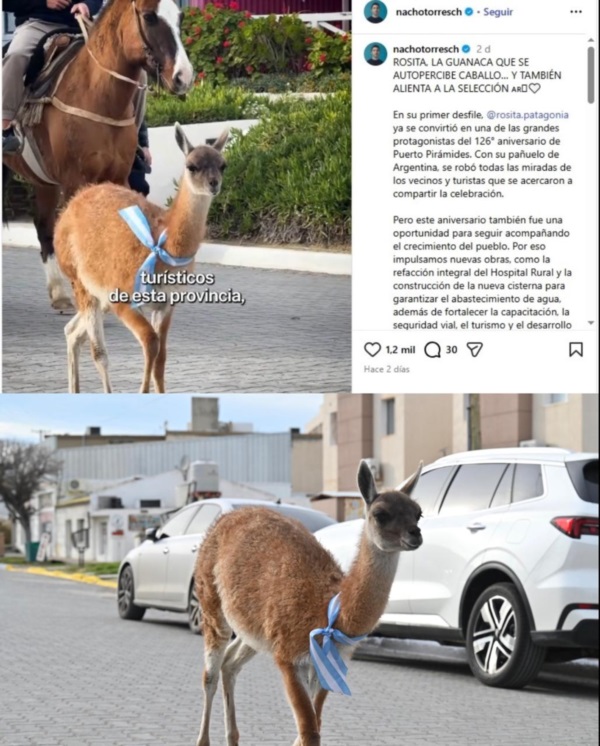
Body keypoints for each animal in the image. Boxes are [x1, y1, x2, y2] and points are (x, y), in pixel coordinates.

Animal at [2, 0, 194, 310]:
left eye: (180, 17)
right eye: (149, 17)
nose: (183, 77)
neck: (97, 94)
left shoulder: (117, 178)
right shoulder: (74, 181)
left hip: (44, 182)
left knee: (43, 226)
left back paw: (59, 294)